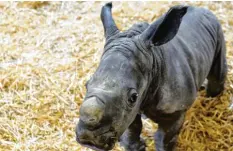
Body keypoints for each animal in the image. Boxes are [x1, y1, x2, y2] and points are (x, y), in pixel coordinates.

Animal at [75, 2, 227, 151]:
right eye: (86, 85)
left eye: (133, 97)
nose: (88, 139)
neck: (153, 61)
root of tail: (203, 9)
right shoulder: (128, 112)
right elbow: (132, 129)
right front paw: (136, 147)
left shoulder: (175, 111)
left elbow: (164, 139)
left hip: (217, 31)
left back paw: (210, 96)